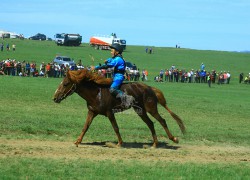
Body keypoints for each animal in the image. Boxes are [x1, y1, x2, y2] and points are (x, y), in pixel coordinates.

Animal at [53, 69, 186, 148]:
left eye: (65, 84)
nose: (55, 98)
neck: (96, 92)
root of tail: (149, 88)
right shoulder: (92, 112)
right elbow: (85, 127)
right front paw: (78, 141)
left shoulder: (109, 113)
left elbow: (115, 128)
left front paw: (120, 143)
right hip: (141, 111)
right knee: (150, 123)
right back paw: (155, 143)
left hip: (151, 108)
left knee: (162, 121)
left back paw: (173, 139)